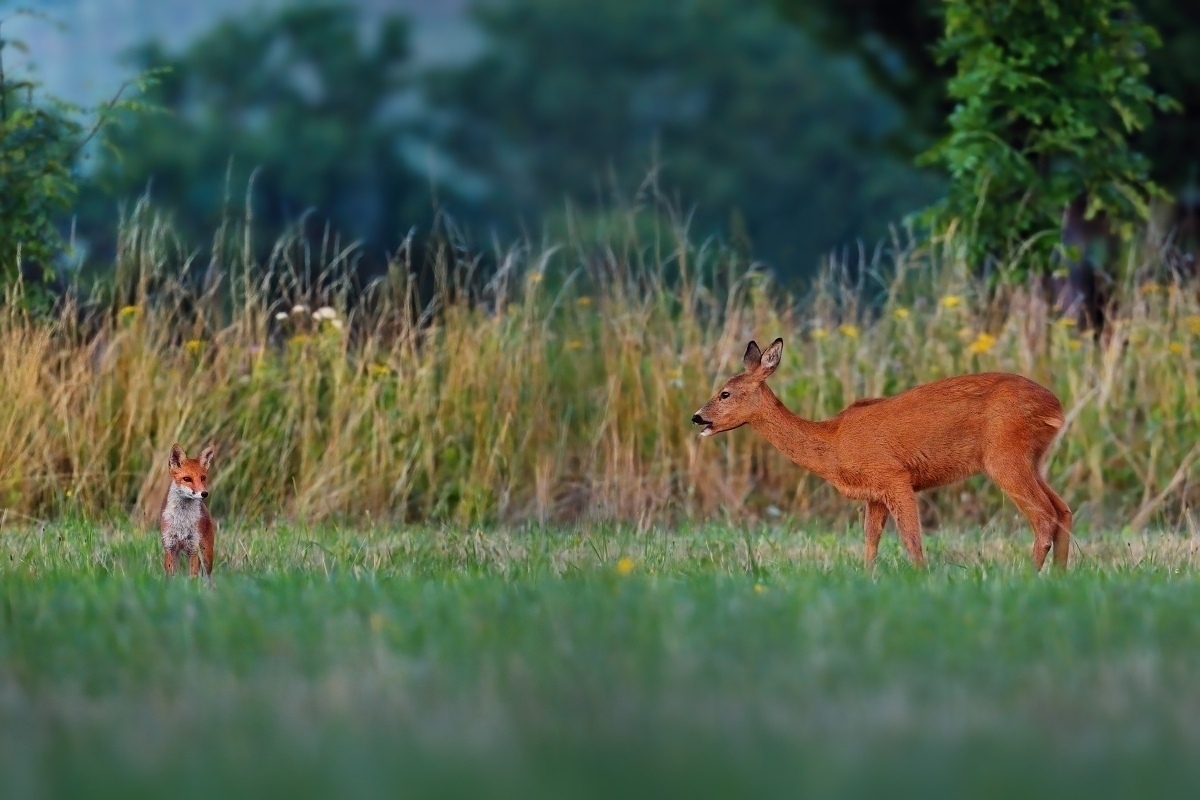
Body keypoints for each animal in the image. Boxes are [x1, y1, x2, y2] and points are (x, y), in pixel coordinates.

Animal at [160, 443, 217, 582]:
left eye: (203, 478)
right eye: (187, 479)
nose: (204, 493)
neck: (182, 520)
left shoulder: (193, 549)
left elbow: (192, 578)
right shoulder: (169, 547)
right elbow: (170, 577)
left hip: (206, 555)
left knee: (209, 579)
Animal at [691, 338, 1075, 568]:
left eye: (725, 393)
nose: (697, 417)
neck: (833, 443)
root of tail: (1055, 407)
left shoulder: (894, 476)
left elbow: (911, 540)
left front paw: (922, 579)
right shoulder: (873, 494)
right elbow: (871, 540)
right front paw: (868, 578)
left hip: (1004, 454)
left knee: (1043, 516)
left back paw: (1028, 576)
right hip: (1033, 458)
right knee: (1063, 510)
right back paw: (1058, 577)